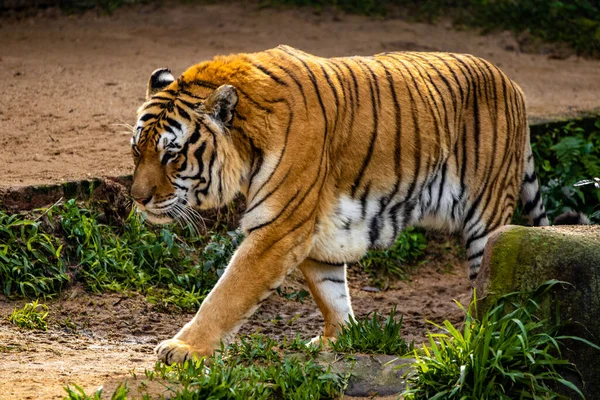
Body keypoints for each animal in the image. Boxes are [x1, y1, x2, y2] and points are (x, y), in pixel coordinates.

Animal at [129, 44, 568, 366]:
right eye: (137, 150)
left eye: (172, 155)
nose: (137, 198)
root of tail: (512, 83)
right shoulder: (315, 228)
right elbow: (330, 292)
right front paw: (340, 339)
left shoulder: (279, 228)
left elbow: (226, 294)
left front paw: (183, 348)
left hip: (486, 217)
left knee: (491, 287)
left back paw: (477, 344)